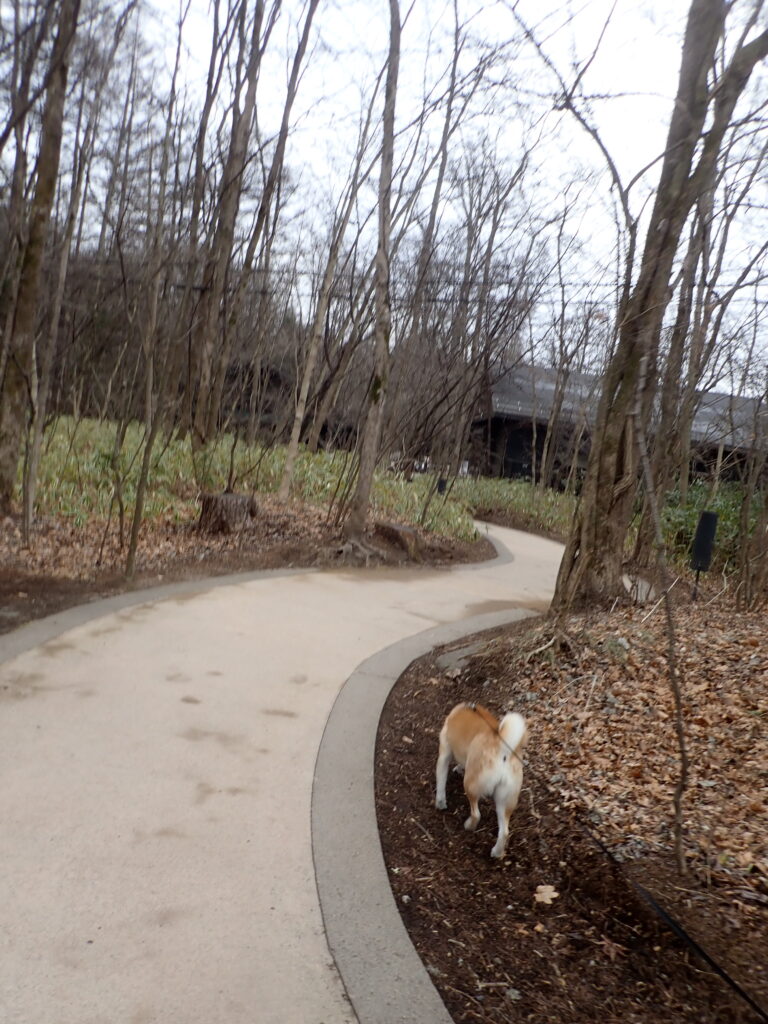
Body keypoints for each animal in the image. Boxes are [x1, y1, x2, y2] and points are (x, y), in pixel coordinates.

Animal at [435, 702, 527, 859]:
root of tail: (503, 750)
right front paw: (459, 767)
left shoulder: (444, 753)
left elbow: (441, 782)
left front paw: (440, 803)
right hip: (505, 800)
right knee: (504, 832)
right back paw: (496, 853)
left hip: (470, 785)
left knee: (476, 814)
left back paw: (469, 826)